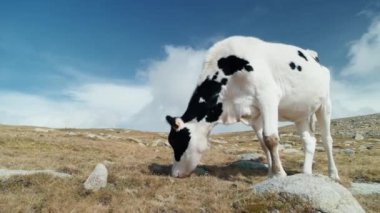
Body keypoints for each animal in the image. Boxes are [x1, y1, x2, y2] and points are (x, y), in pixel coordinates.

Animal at [165, 36, 340, 180]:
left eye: (176, 141)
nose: (174, 173)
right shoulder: (254, 115)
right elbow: (263, 143)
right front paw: (270, 174)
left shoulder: (268, 96)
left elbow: (270, 138)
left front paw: (279, 174)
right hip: (300, 113)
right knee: (309, 141)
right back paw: (306, 173)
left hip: (325, 104)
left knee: (327, 139)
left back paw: (333, 174)